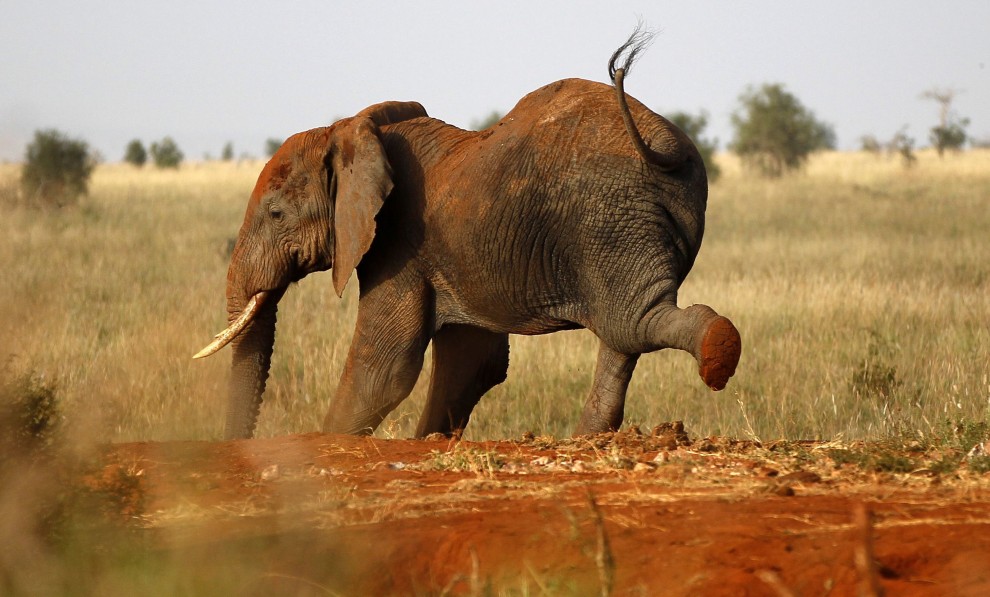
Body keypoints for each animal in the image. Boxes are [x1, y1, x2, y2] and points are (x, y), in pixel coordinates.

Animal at [194, 32, 741, 440]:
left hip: (608, 218)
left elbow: (384, 368)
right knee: (623, 332)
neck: (349, 130)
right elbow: (471, 361)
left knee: (631, 322)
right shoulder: (449, 253)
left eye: (276, 213)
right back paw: (589, 438)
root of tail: (664, 142)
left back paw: (717, 352)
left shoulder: (400, 243)